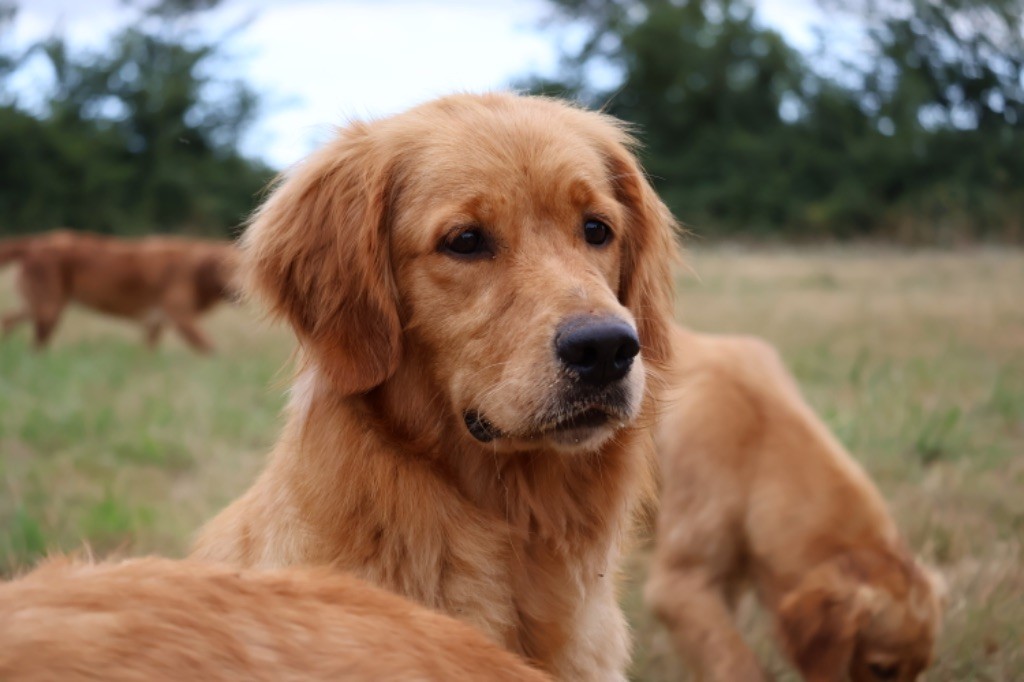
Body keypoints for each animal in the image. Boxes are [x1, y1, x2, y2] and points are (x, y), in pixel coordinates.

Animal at [0, 229, 237, 350]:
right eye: (225, 268)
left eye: (241, 269)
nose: (237, 292)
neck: (193, 269)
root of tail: (36, 242)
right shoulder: (181, 317)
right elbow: (212, 350)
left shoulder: (156, 323)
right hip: (48, 308)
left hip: (42, 305)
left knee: (9, 321)